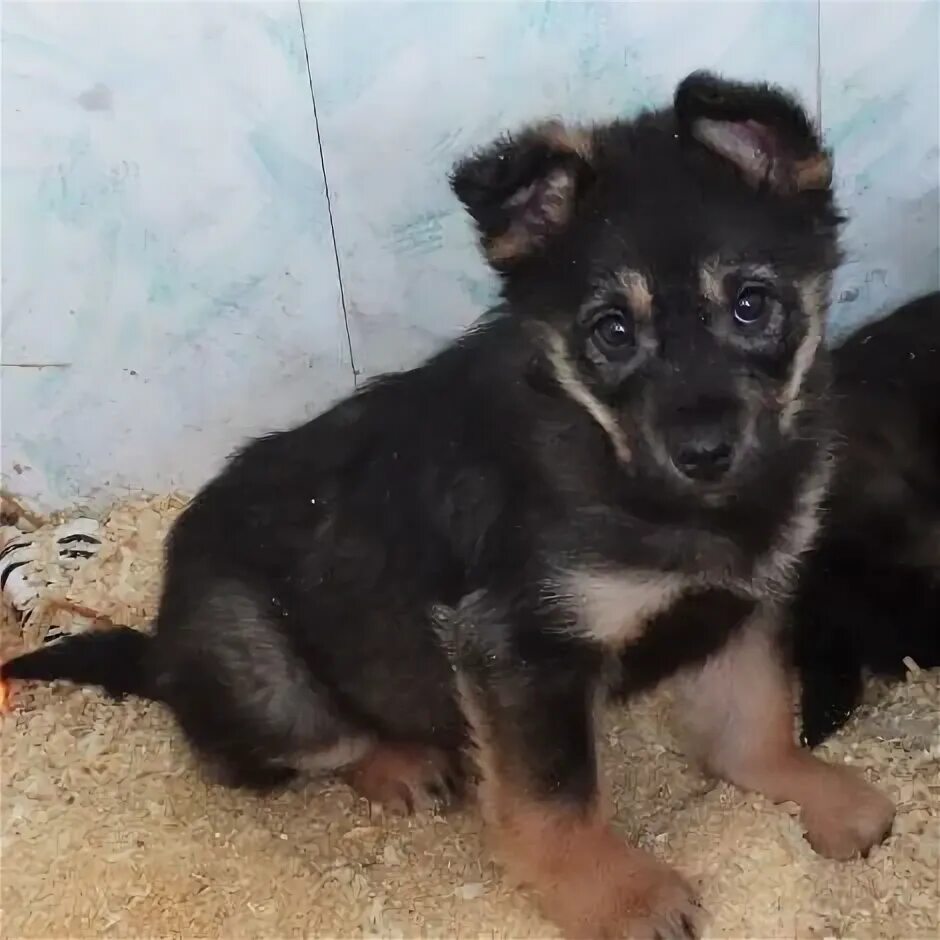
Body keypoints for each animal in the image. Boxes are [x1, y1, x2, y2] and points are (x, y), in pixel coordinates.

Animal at [1, 75, 896, 940]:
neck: (640, 479)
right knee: (301, 744)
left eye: (751, 303)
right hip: (270, 681)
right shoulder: (518, 647)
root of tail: (159, 647)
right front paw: (618, 898)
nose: (704, 452)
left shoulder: (734, 605)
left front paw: (813, 794)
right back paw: (401, 762)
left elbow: (754, 723)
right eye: (611, 331)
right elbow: (557, 800)